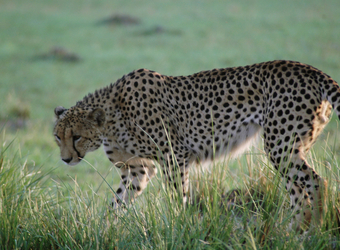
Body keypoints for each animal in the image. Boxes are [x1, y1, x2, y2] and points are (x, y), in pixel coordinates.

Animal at [53, 60, 340, 230]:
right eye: (58, 136)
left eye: (76, 136)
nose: (66, 159)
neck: (112, 116)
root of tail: (309, 69)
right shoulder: (138, 170)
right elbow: (118, 201)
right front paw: (103, 227)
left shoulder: (174, 155)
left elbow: (176, 197)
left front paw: (177, 225)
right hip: (291, 147)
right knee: (299, 191)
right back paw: (293, 232)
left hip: (281, 146)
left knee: (316, 182)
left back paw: (312, 231)